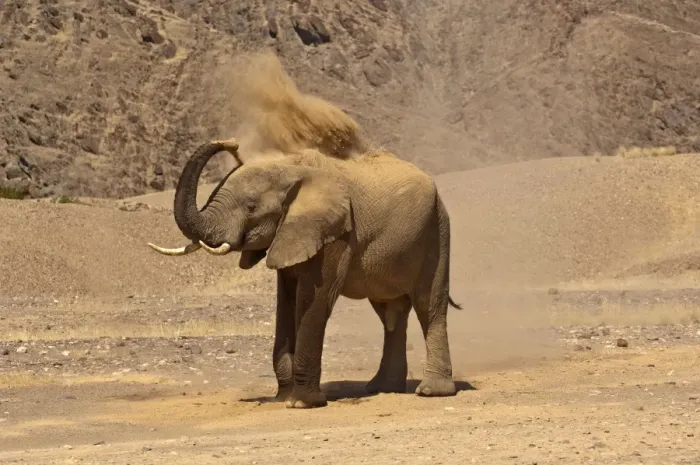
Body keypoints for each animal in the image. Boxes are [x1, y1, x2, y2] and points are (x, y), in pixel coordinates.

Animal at [148, 138, 462, 408]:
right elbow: (286, 302)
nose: (232, 144)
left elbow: (314, 301)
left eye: (251, 206)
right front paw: (282, 398)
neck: (291, 167)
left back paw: (432, 392)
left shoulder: (337, 232)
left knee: (429, 306)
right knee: (391, 314)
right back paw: (382, 388)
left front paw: (301, 403)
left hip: (437, 231)